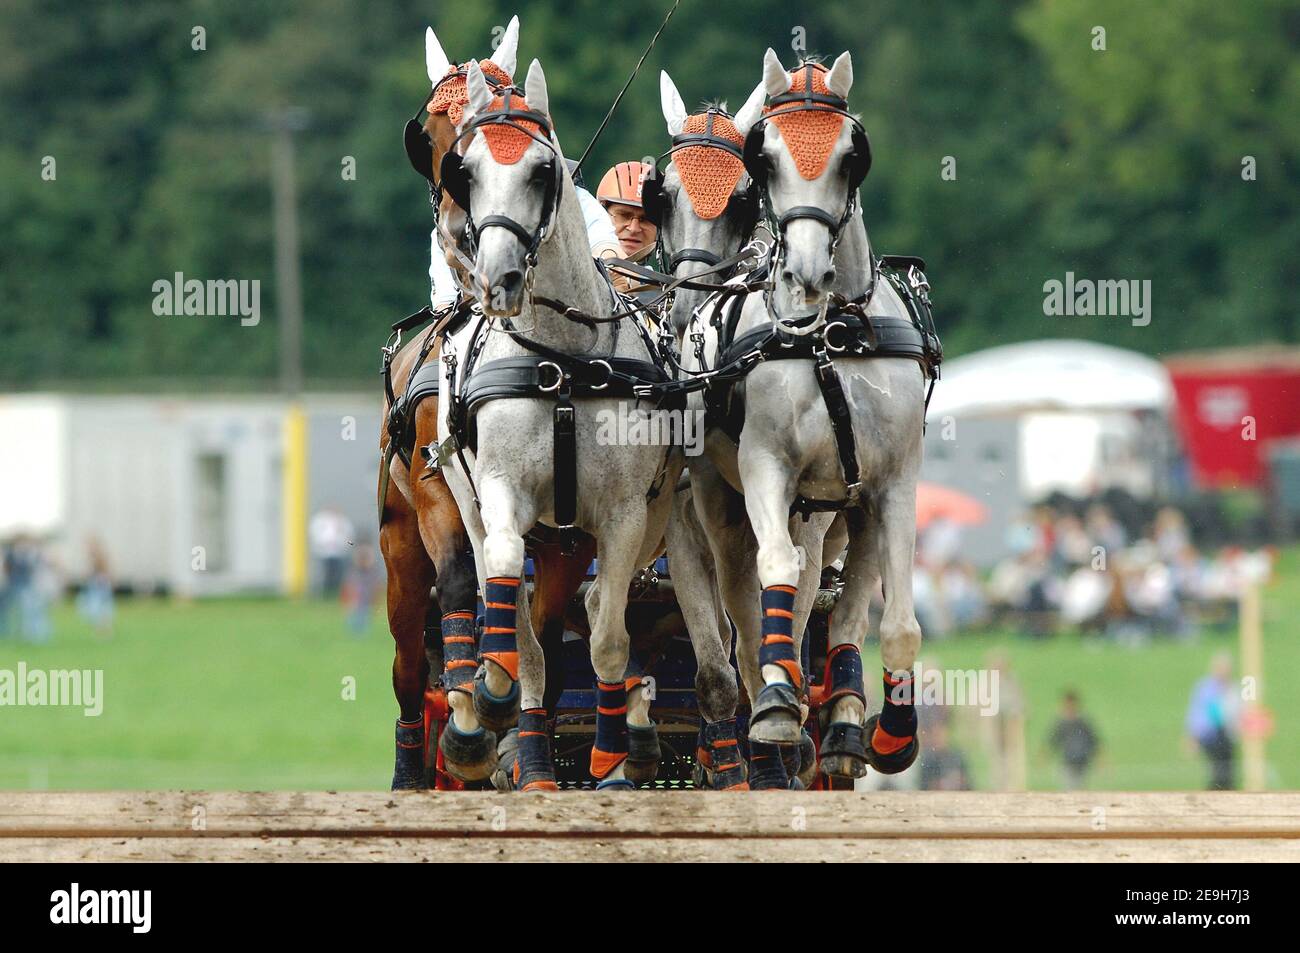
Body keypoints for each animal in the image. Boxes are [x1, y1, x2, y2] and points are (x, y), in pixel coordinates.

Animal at [377, 22, 598, 790]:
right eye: (430, 136)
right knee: (408, 667)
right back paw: (416, 765)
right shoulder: (436, 489)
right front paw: (472, 715)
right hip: (396, 552)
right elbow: (458, 587)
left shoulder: (566, 529)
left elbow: (545, 638)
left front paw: (518, 738)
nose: (458, 231)